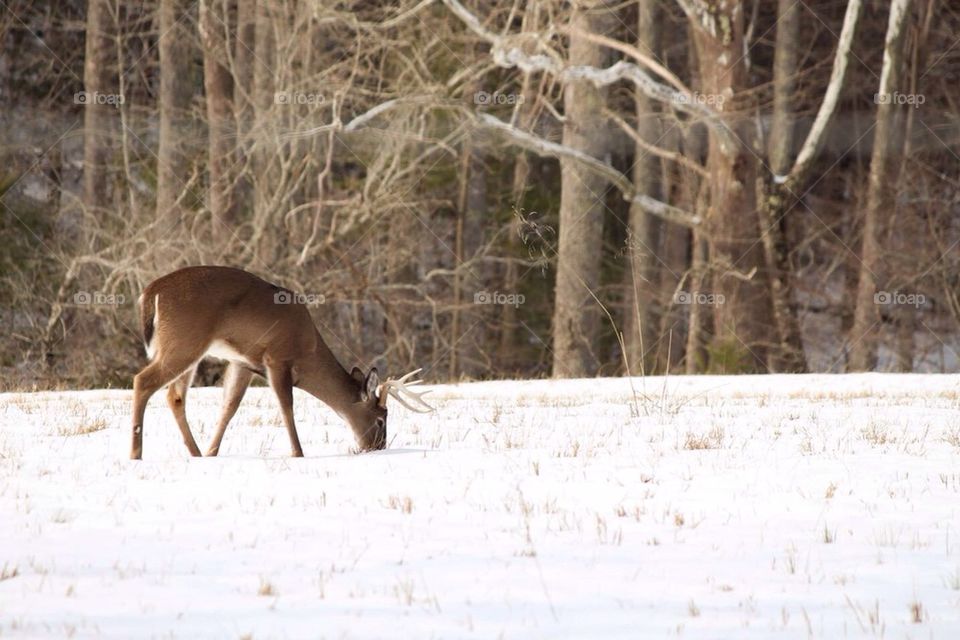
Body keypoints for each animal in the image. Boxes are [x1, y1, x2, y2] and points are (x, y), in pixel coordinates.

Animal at [128, 264, 436, 460]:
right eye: (382, 419)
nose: (378, 448)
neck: (309, 350)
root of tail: (150, 293)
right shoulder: (277, 357)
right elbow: (286, 406)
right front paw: (298, 453)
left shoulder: (242, 362)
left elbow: (229, 406)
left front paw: (213, 452)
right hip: (184, 341)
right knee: (142, 380)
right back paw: (136, 453)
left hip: (188, 350)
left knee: (174, 395)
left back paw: (195, 453)